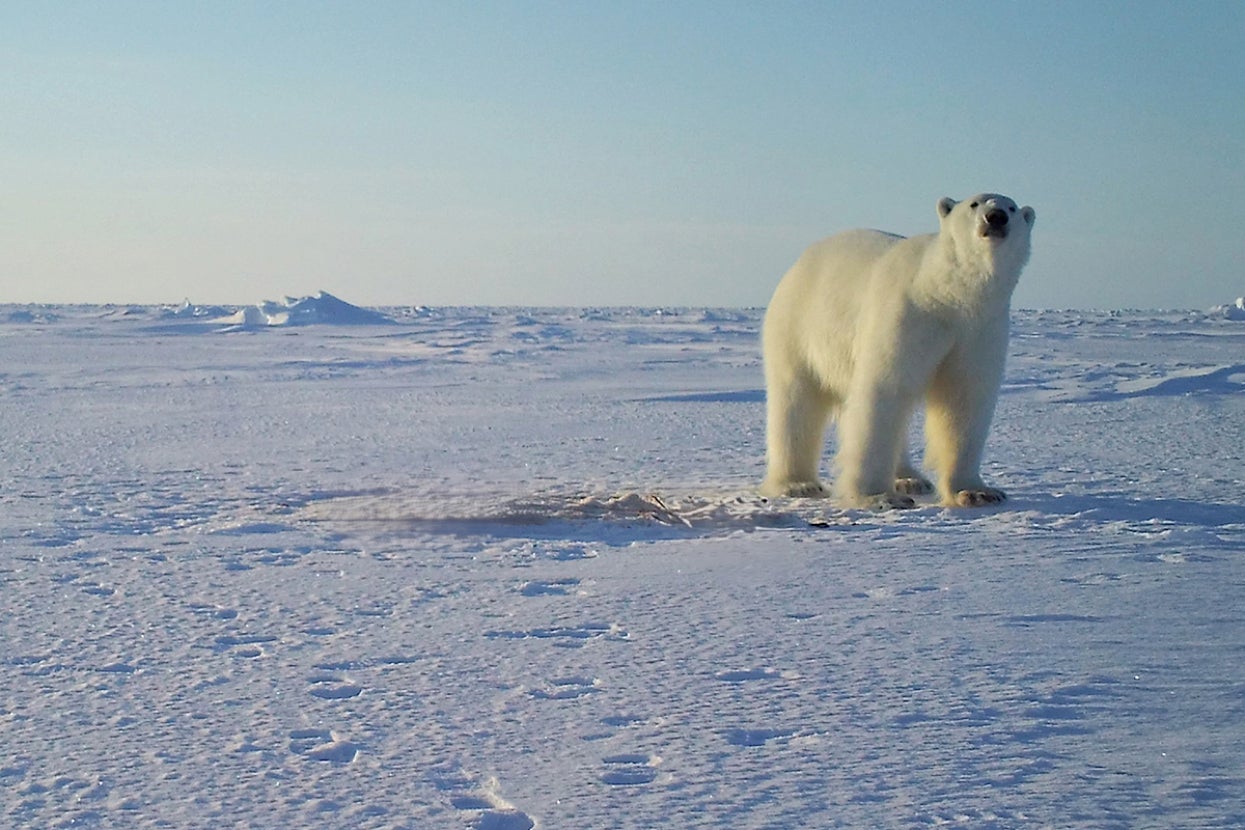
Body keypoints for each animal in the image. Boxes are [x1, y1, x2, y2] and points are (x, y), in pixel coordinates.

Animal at [759, 193, 1035, 508]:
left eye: (1012, 208)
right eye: (974, 204)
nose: (996, 217)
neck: (945, 293)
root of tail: (800, 262)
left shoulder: (980, 330)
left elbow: (965, 400)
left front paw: (978, 492)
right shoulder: (907, 314)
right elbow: (884, 390)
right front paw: (878, 496)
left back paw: (910, 479)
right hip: (798, 328)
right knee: (796, 401)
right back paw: (797, 484)